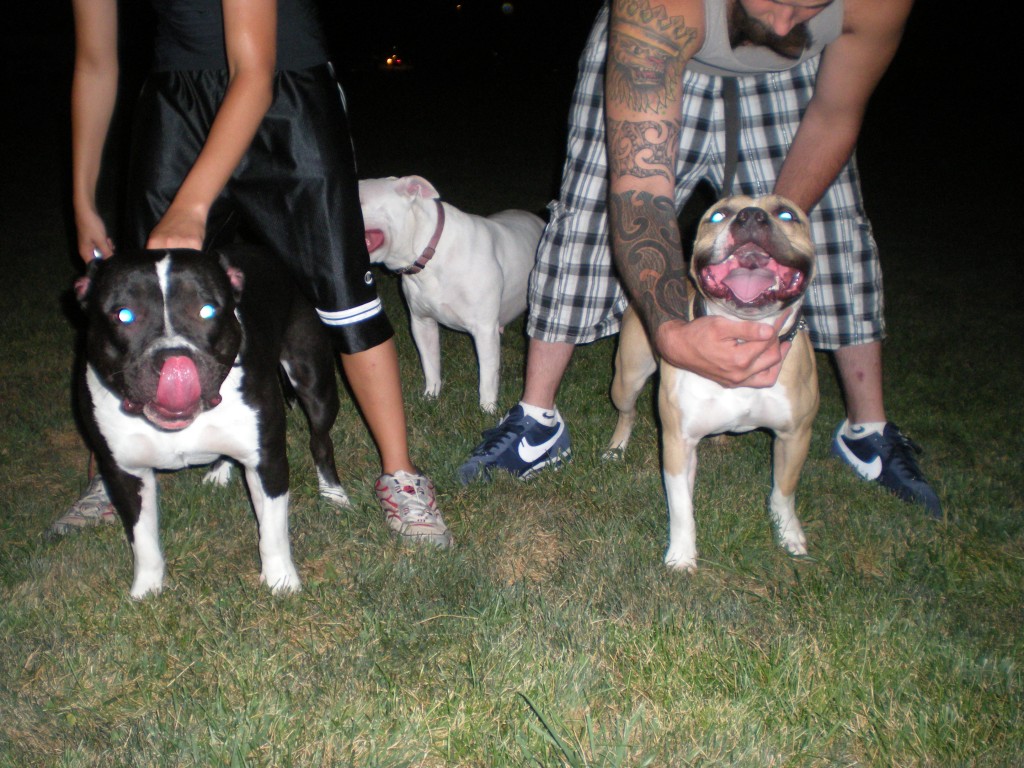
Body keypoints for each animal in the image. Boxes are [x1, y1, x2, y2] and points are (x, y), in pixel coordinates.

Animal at [75, 246, 349, 598]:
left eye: (206, 311)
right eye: (125, 316)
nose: (174, 360)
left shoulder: (268, 461)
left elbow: (272, 531)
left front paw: (281, 580)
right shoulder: (125, 473)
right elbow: (143, 540)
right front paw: (147, 589)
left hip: (314, 382)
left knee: (320, 439)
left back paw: (333, 493)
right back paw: (220, 471)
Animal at [359, 175, 544, 413]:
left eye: (360, 200)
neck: (429, 253)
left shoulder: (484, 330)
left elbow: (487, 375)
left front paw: (487, 409)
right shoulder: (422, 323)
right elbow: (430, 363)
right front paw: (431, 395)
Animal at [606, 195, 818, 571]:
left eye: (786, 214)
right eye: (718, 216)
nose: (751, 216)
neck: (741, 340)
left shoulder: (795, 435)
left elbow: (784, 491)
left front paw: (788, 534)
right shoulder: (678, 441)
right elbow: (681, 506)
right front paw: (681, 554)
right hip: (627, 379)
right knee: (627, 412)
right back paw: (616, 448)